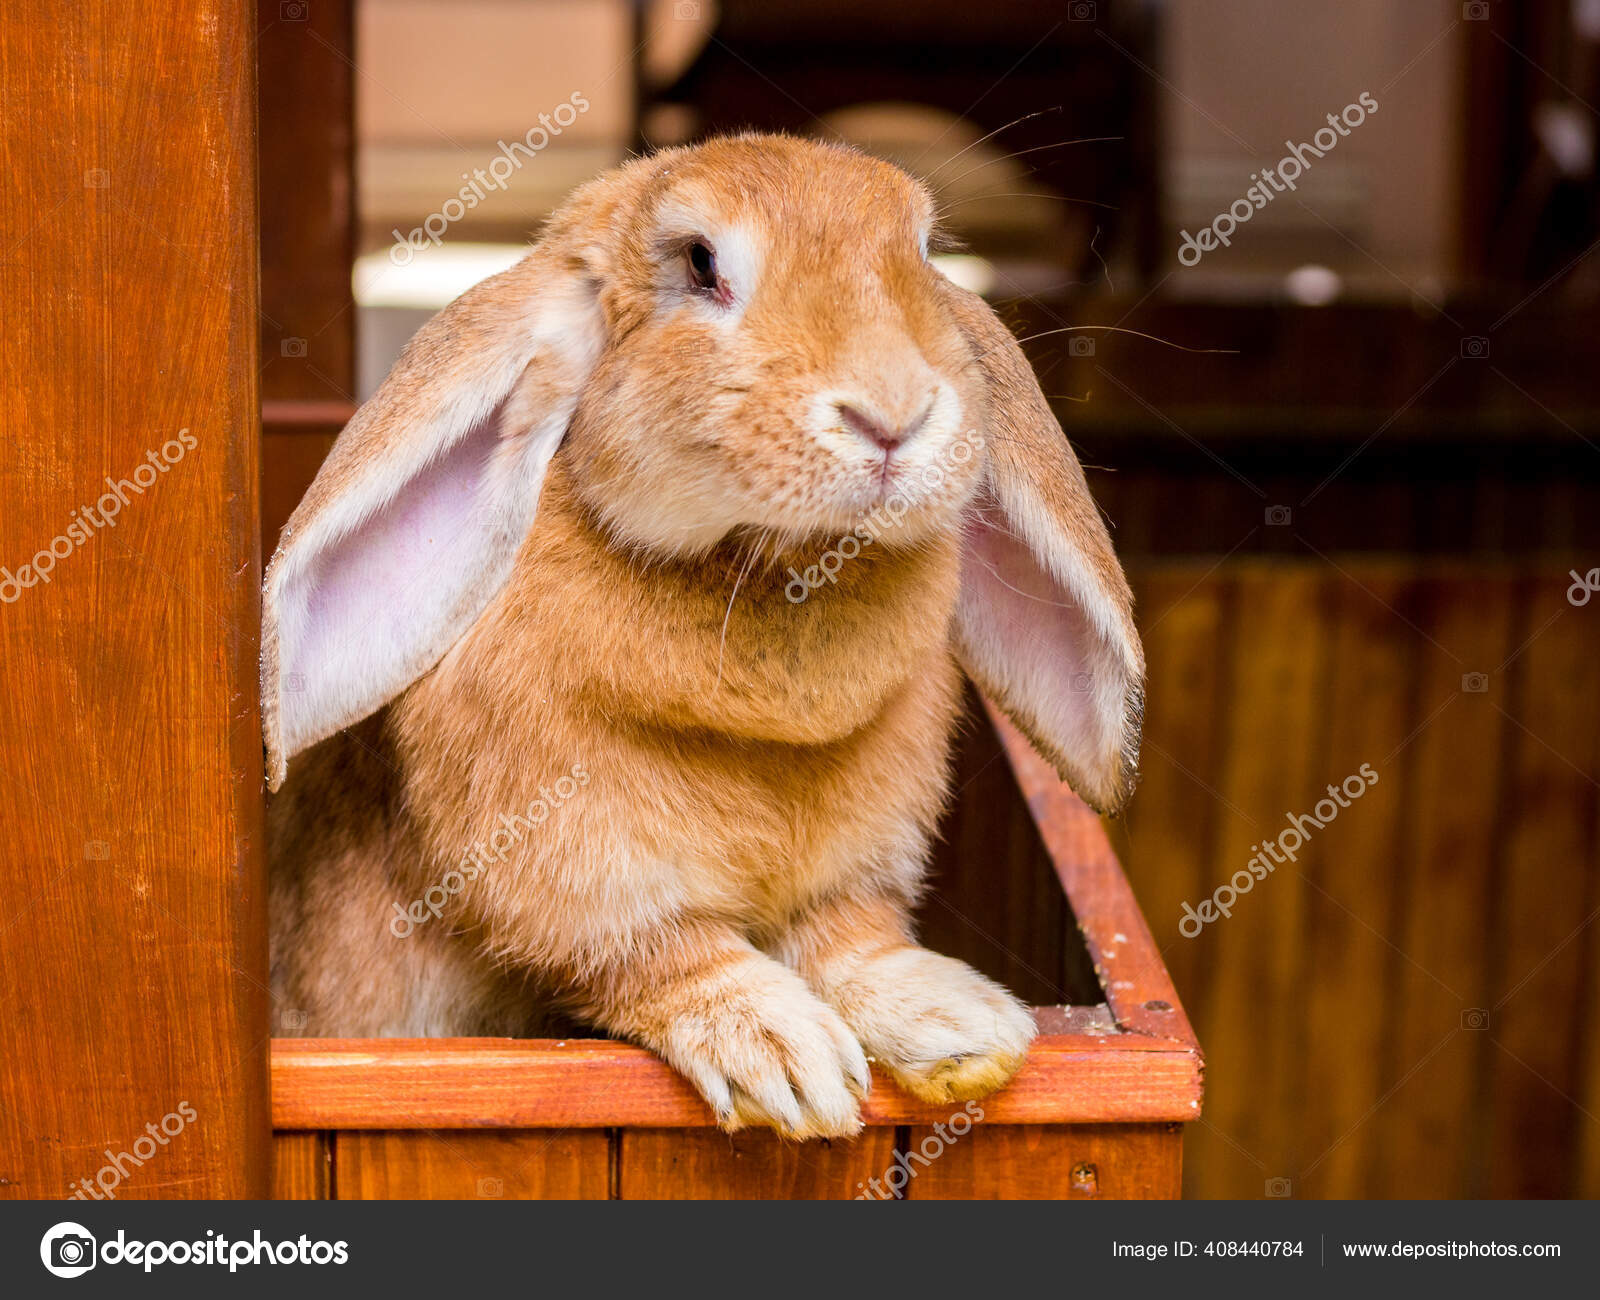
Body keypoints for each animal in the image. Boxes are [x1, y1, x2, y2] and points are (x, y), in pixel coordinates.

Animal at [262, 133, 1144, 1139]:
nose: (893, 415)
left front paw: (962, 1029)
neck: (771, 568)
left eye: (922, 252)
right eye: (699, 263)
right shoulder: (571, 863)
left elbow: (849, 940)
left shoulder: (858, 860)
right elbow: (663, 953)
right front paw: (788, 1063)